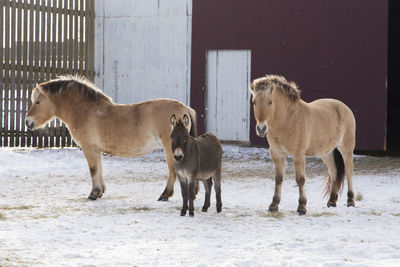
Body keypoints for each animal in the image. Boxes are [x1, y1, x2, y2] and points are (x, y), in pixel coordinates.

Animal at [25, 75, 197, 201]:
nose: (28, 122)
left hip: (170, 149)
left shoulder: (88, 148)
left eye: (38, 102)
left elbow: (93, 169)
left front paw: (93, 194)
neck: (84, 110)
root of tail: (184, 108)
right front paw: (100, 191)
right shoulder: (97, 150)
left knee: (173, 171)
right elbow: (99, 169)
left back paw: (164, 195)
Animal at [250, 75, 356, 216]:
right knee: (334, 171)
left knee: (349, 170)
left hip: (346, 148)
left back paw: (351, 201)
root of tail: (344, 107)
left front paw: (301, 207)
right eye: (254, 102)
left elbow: (300, 179)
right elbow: (278, 179)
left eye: (270, 102)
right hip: (326, 152)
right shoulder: (277, 154)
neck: (287, 120)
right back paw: (332, 202)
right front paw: (273, 205)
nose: (261, 129)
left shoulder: (298, 155)